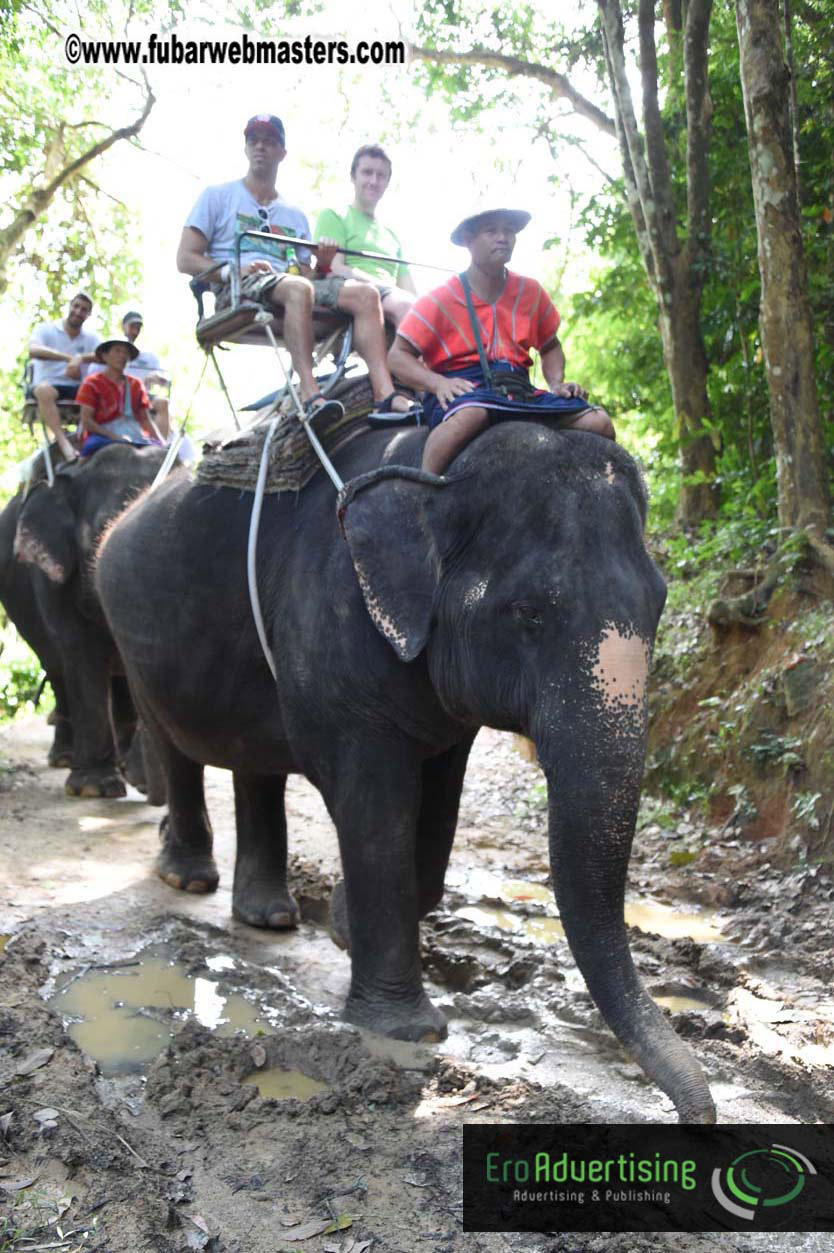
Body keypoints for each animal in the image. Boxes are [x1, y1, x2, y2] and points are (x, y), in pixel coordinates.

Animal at [0, 443, 177, 797]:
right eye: (105, 531)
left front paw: (136, 779)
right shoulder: (52, 578)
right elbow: (80, 654)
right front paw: (93, 788)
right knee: (56, 668)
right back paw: (65, 758)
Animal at [95, 420, 716, 1123]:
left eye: (660, 606)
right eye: (530, 613)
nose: (693, 1116)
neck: (436, 472)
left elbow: (440, 806)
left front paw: (342, 924)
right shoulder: (335, 627)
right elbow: (376, 805)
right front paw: (409, 1030)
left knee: (256, 761)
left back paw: (271, 918)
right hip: (128, 631)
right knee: (174, 745)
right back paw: (189, 879)